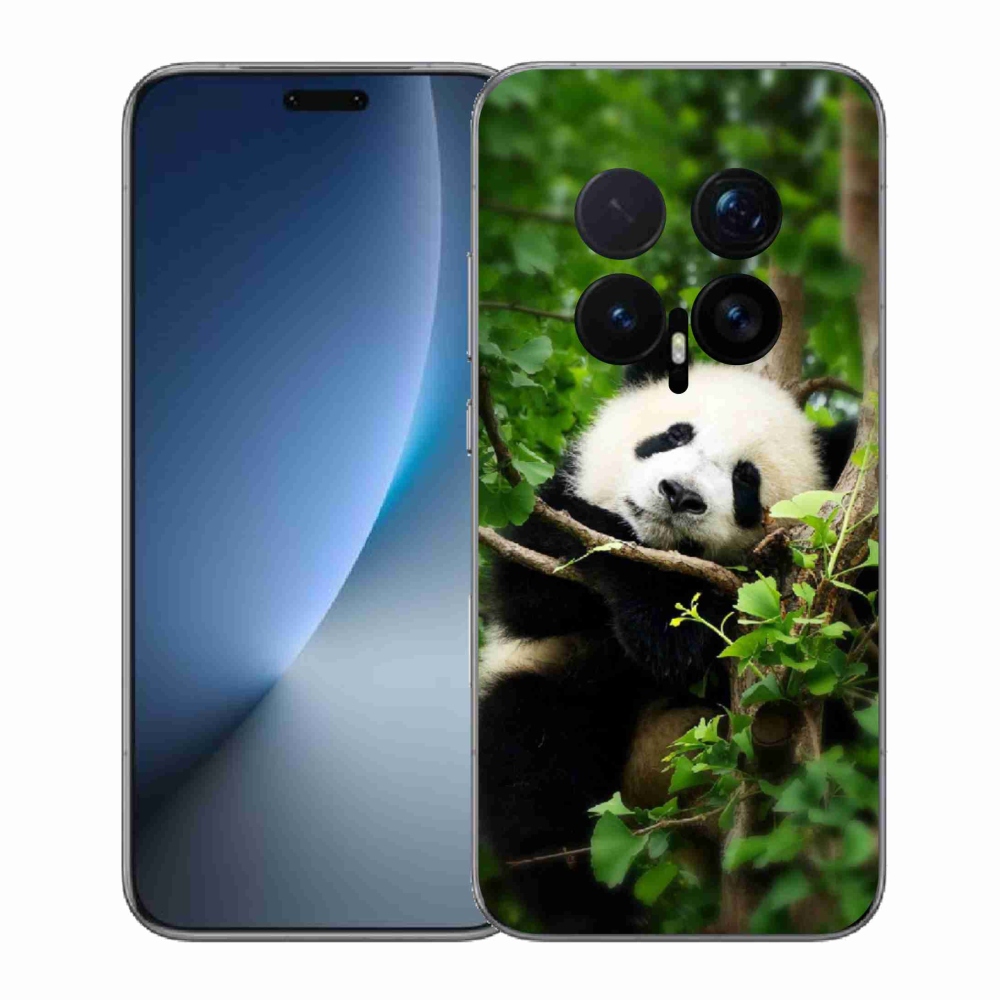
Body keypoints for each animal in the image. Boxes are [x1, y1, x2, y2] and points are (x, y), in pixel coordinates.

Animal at [478, 359, 852, 933]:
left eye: (746, 479)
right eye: (675, 434)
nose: (679, 494)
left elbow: (701, 640)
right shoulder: (537, 539)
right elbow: (532, 590)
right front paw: (591, 529)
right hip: (559, 697)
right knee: (536, 777)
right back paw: (594, 912)